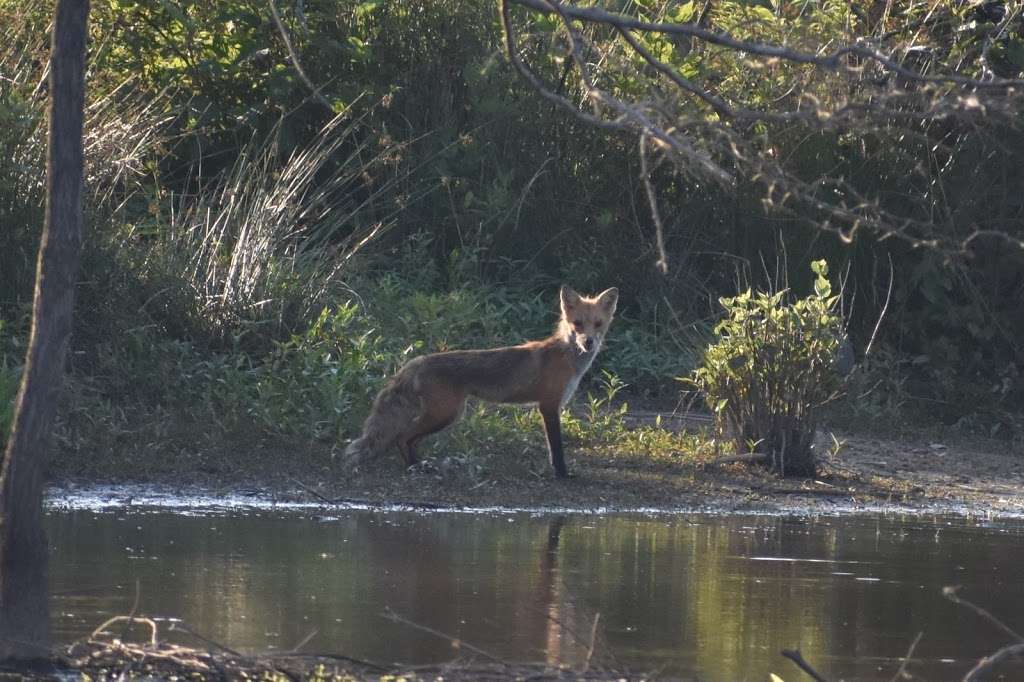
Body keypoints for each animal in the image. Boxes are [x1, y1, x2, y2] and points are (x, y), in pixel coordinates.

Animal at [344, 284, 614, 475]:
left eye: (598, 324)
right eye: (577, 324)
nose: (589, 342)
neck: (567, 358)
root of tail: (417, 360)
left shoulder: (551, 406)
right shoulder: (548, 406)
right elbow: (556, 447)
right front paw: (562, 473)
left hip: (447, 415)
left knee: (408, 439)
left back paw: (418, 465)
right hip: (444, 415)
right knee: (402, 437)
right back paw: (413, 467)